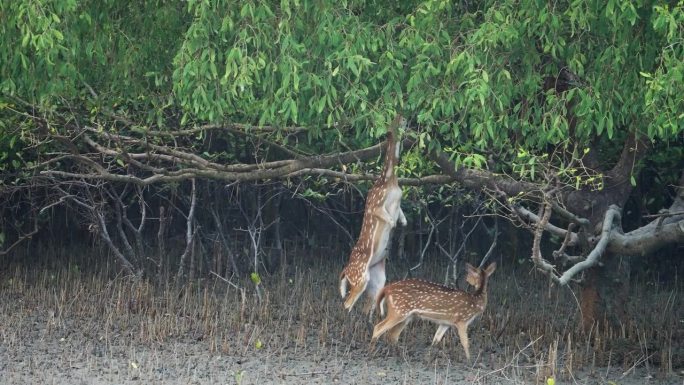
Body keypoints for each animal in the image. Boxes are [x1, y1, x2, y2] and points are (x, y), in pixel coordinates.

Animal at [340, 114, 408, 318]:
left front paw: (402, 223)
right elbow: (388, 218)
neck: (390, 180)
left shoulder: (398, 200)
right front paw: (393, 230)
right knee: (347, 303)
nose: (403, 116)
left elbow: (402, 216)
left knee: (367, 303)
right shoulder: (374, 204)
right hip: (360, 276)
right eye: (393, 123)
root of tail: (345, 272)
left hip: (377, 279)